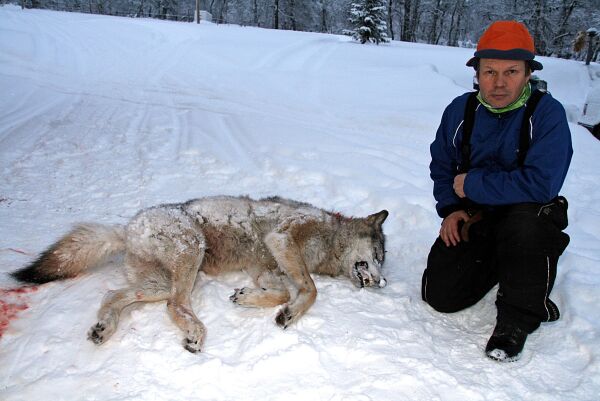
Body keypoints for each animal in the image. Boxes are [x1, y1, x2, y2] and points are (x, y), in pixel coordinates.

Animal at [14, 195, 392, 352]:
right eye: (377, 256)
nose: (381, 281)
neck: (329, 238)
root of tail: (126, 229)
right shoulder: (282, 238)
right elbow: (310, 289)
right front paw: (288, 315)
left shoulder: (264, 268)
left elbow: (284, 290)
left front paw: (249, 298)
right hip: (191, 252)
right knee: (174, 305)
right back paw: (196, 333)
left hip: (159, 283)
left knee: (115, 295)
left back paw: (103, 329)